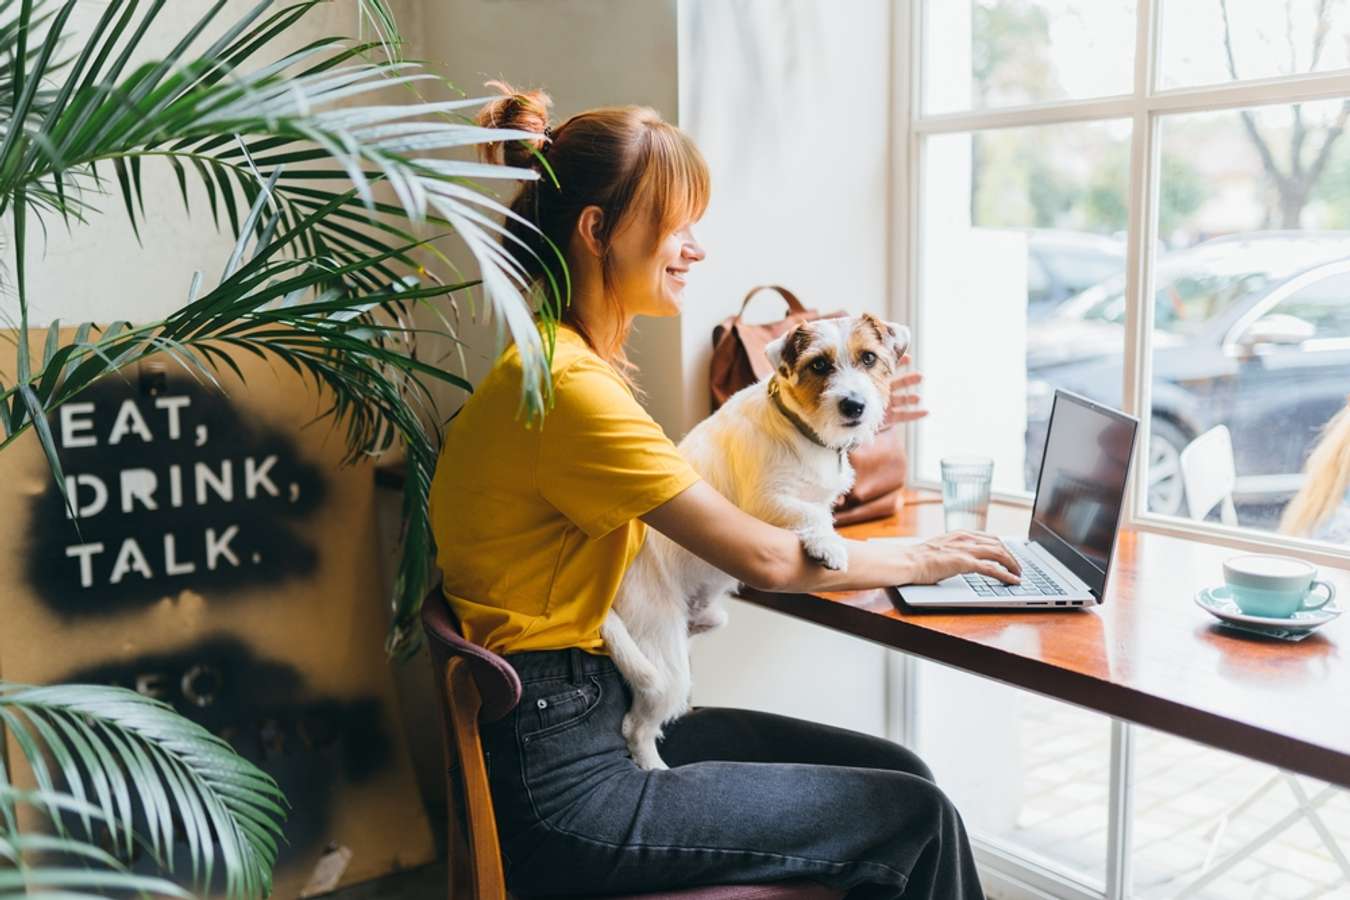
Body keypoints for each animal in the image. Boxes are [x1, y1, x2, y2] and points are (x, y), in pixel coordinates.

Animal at [607, 311, 912, 766]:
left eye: (869, 358)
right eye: (819, 365)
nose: (853, 405)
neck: (802, 430)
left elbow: (821, 510)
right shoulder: (762, 504)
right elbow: (809, 513)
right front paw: (828, 546)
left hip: (706, 621)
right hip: (662, 652)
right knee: (636, 726)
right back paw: (653, 765)